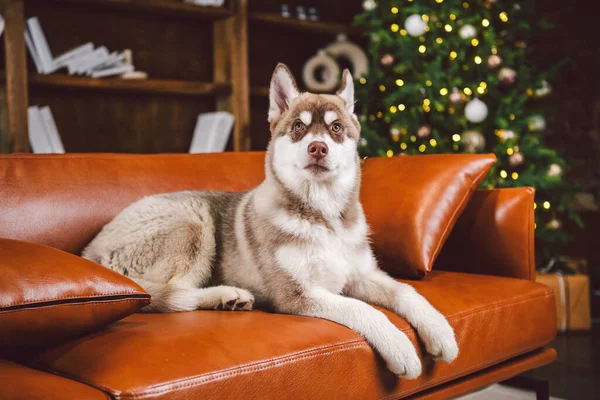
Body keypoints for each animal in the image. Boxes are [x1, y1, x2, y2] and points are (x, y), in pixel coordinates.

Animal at [83, 63, 460, 378]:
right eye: (298, 127)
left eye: (336, 128)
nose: (318, 148)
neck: (323, 217)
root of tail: (90, 251)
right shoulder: (297, 294)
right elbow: (363, 310)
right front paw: (400, 347)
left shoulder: (362, 275)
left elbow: (407, 292)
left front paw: (440, 330)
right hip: (191, 224)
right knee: (171, 295)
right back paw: (226, 294)